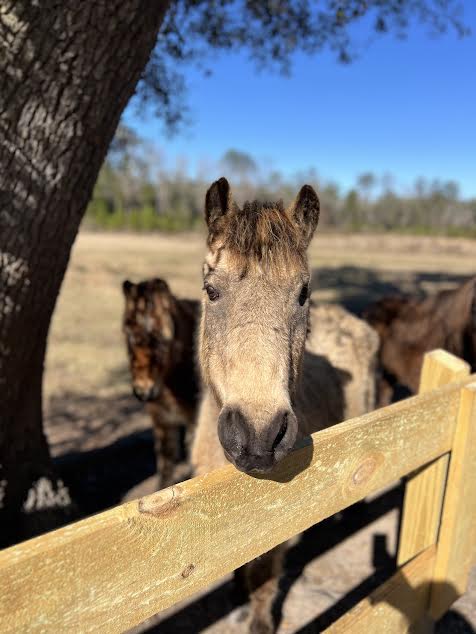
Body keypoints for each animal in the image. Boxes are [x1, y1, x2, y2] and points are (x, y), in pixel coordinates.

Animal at [192, 178, 378, 632]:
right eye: (211, 290)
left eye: (303, 293)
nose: (258, 437)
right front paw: (235, 594)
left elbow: (263, 574)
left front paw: (257, 619)